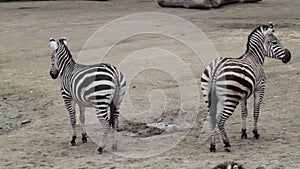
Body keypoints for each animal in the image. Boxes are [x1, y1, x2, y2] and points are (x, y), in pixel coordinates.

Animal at [200, 22, 292, 152]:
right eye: (274, 42)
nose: (289, 56)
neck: (255, 58)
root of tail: (216, 69)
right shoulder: (260, 88)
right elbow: (256, 112)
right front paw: (255, 133)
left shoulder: (243, 94)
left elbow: (244, 112)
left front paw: (244, 133)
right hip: (231, 99)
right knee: (220, 120)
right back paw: (227, 143)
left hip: (208, 96)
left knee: (211, 119)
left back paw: (212, 146)